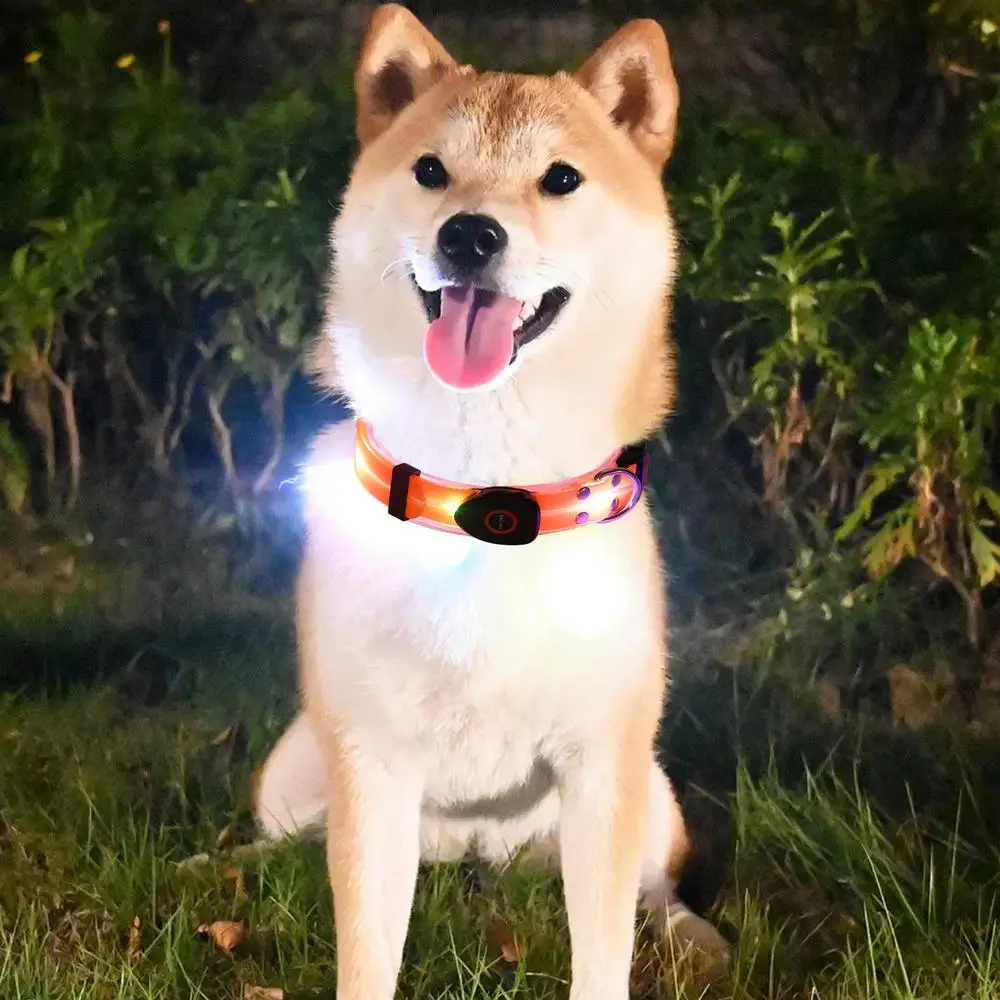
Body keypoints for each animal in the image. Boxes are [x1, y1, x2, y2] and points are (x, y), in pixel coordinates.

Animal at [252, 6, 730, 1000]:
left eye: (562, 178)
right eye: (431, 170)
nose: (470, 235)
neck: (486, 500)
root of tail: (478, 859)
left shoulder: (603, 762)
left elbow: (604, 951)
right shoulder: (371, 764)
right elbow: (366, 954)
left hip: (651, 789)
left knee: (656, 889)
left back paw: (695, 934)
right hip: (297, 760)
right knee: (281, 842)